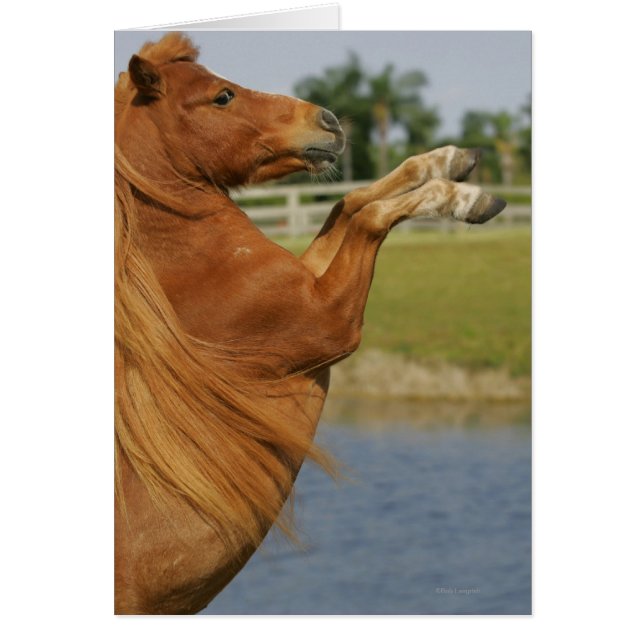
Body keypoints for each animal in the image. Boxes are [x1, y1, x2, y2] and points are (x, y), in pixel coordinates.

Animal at [114, 33, 506, 615]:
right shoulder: (330, 322)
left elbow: (350, 200)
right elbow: (368, 215)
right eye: (222, 96)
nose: (329, 121)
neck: (181, 267)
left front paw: (450, 159)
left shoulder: (310, 280)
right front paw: (466, 197)